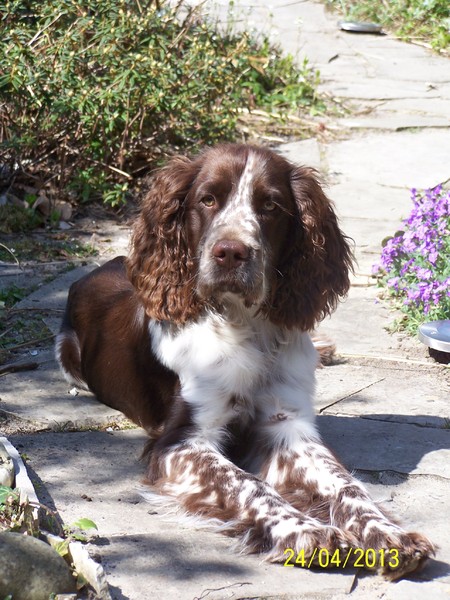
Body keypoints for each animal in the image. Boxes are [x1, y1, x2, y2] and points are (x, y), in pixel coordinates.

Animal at [55, 143, 432, 580]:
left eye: (270, 205)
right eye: (207, 199)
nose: (231, 252)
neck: (245, 328)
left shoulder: (286, 425)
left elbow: (346, 484)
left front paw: (388, 534)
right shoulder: (181, 442)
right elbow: (248, 484)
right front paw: (306, 531)